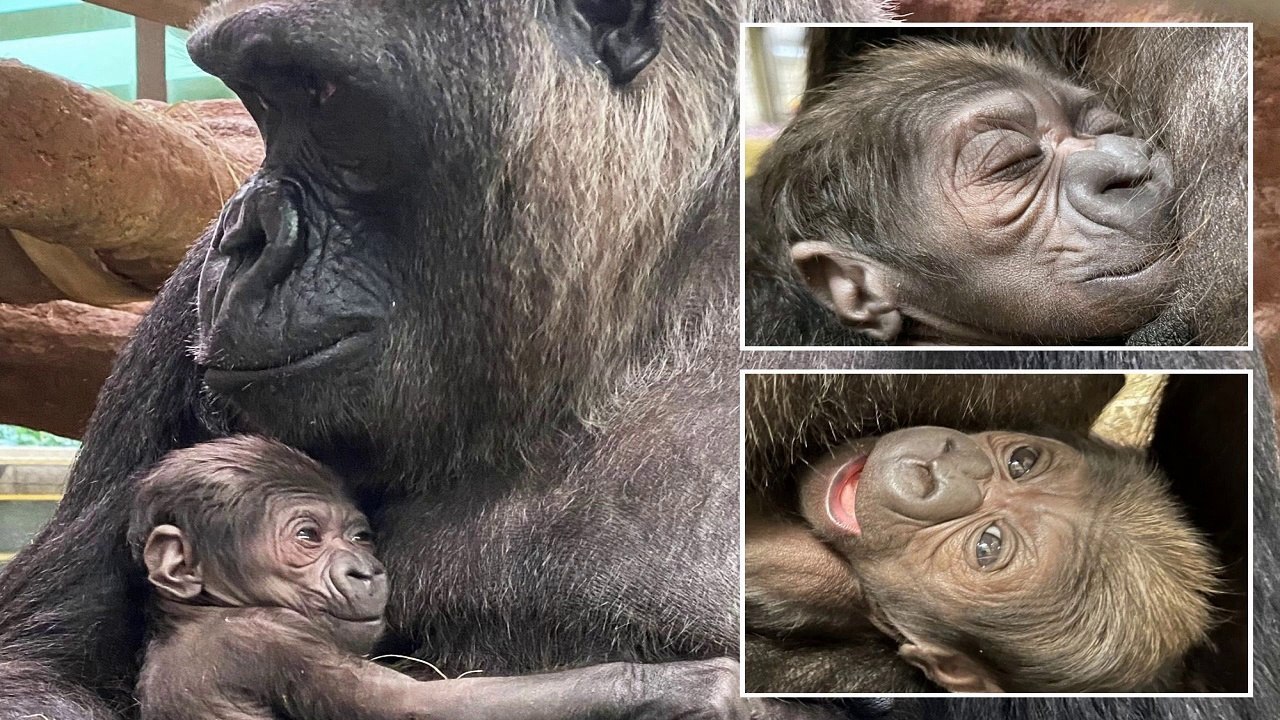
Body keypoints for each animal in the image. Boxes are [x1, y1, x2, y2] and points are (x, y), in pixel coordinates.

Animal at [131, 435, 751, 720]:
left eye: (359, 537)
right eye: (307, 536)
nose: (364, 568)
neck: (208, 612)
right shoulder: (267, 642)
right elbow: (421, 706)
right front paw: (685, 686)